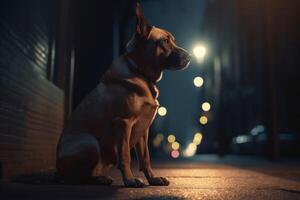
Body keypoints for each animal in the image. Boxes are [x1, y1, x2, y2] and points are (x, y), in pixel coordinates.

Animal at [56, 3, 191, 188]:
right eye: (164, 41)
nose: (190, 57)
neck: (140, 72)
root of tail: (57, 169)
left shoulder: (143, 130)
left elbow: (145, 158)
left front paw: (153, 179)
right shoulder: (123, 123)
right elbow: (125, 156)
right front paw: (130, 180)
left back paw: (101, 178)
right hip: (90, 143)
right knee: (76, 177)